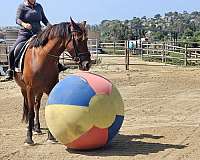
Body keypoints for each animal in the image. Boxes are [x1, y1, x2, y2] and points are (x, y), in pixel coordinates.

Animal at [13, 17, 91, 145]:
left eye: (87, 40)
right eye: (79, 40)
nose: (87, 64)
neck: (41, 58)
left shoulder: (50, 87)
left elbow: (48, 110)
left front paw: (51, 137)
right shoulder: (30, 89)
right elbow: (30, 112)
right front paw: (29, 138)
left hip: (39, 90)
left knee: (36, 105)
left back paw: (37, 128)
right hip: (24, 89)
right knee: (29, 107)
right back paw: (31, 128)